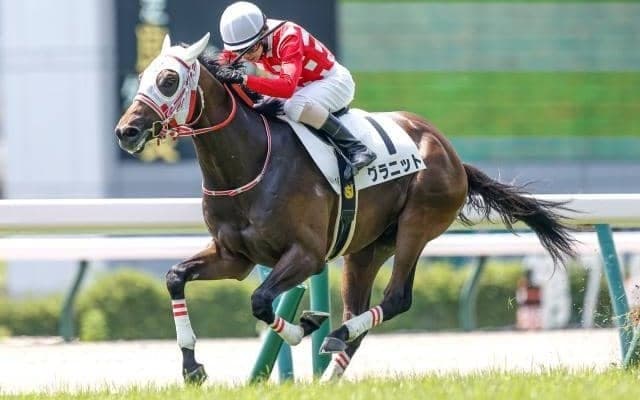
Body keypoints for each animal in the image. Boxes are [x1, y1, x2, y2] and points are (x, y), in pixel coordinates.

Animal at [114, 33, 576, 384]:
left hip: (418, 223)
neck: (250, 161)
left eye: (169, 79)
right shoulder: (234, 257)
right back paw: (331, 368)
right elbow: (175, 278)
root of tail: (450, 153)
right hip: (367, 248)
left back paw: (332, 334)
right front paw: (192, 366)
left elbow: (261, 301)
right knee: (361, 311)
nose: (126, 131)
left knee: (396, 299)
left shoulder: (306, 255)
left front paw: (303, 326)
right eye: (143, 75)